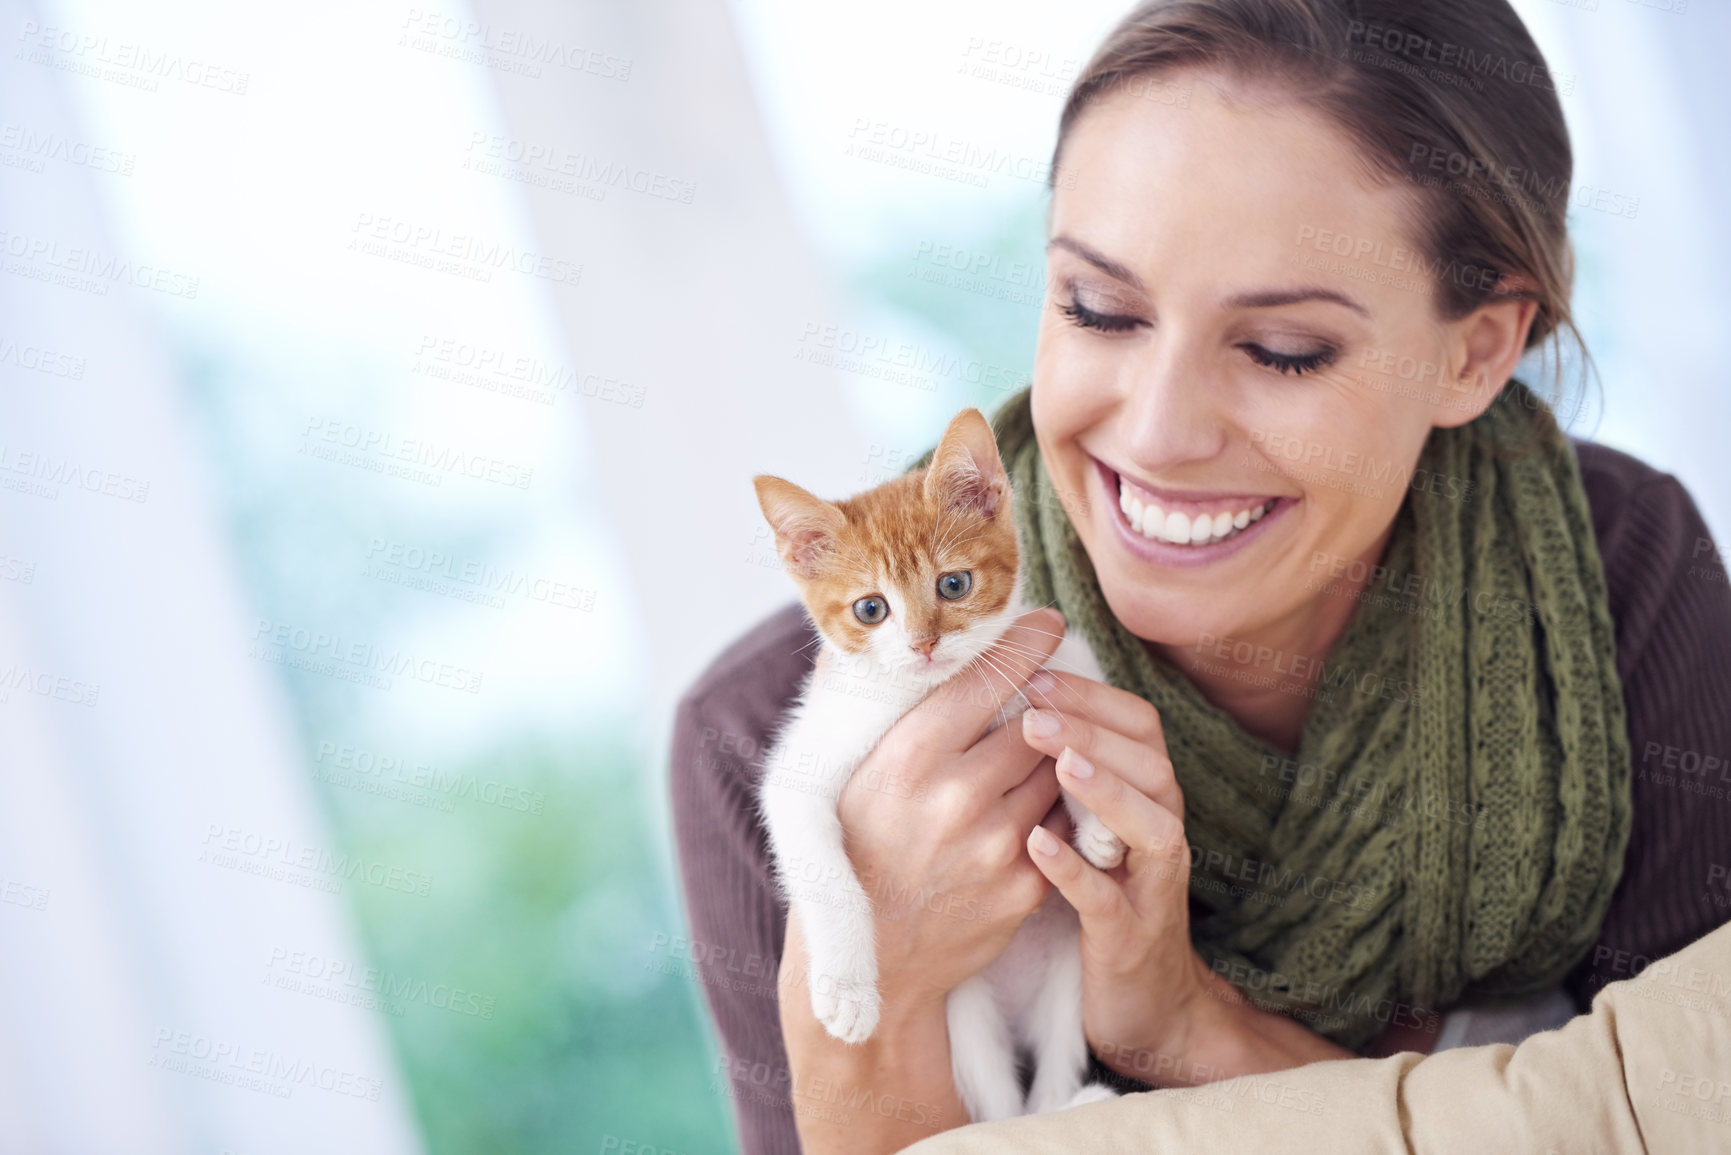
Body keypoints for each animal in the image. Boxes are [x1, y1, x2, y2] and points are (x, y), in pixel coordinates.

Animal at [754, 406, 1121, 1122]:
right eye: (871, 608)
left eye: (954, 585)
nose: (923, 644)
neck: (928, 694)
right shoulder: (805, 762)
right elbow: (821, 867)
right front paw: (847, 992)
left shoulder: (1056, 659)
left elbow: (1075, 719)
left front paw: (1095, 821)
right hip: (963, 1009)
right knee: (999, 1113)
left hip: (1069, 980)